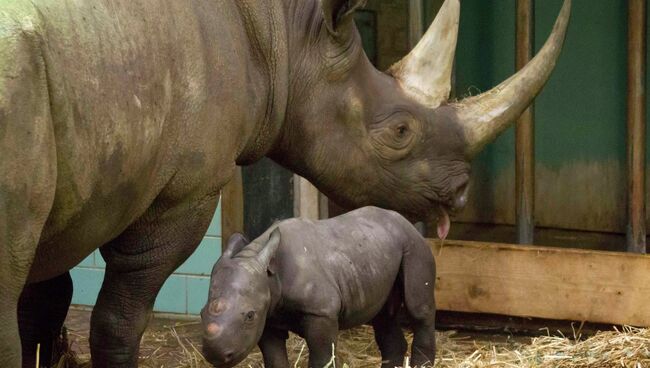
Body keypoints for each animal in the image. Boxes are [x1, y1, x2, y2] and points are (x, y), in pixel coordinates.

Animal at [202, 207, 436, 368]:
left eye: (249, 315)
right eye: (202, 313)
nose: (216, 355)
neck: (270, 276)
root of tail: (407, 222)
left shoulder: (321, 312)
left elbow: (322, 357)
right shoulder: (268, 316)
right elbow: (275, 360)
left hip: (414, 246)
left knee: (418, 309)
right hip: (378, 251)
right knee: (383, 317)